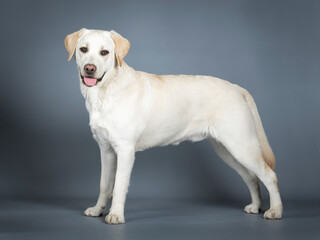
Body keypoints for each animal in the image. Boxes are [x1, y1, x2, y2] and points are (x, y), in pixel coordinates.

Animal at [64, 29, 282, 224]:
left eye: (104, 52)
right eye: (83, 49)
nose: (90, 68)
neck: (106, 91)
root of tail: (239, 89)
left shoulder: (125, 150)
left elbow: (118, 186)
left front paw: (116, 215)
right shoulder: (106, 150)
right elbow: (104, 185)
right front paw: (97, 210)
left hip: (241, 146)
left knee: (270, 175)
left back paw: (275, 211)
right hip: (227, 150)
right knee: (251, 177)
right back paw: (256, 206)